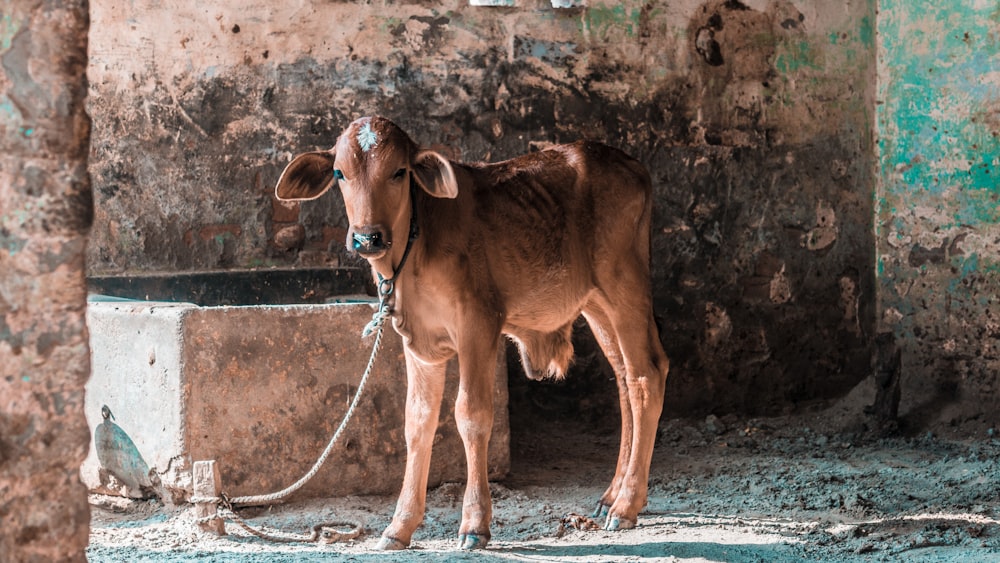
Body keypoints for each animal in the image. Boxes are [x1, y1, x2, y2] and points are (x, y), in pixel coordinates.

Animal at [274, 115, 668, 552]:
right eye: (339, 173)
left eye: (399, 172)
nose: (366, 237)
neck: (413, 250)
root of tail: (627, 163)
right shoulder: (417, 342)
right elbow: (417, 422)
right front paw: (399, 526)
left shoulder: (478, 326)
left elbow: (472, 415)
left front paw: (474, 524)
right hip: (596, 302)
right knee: (624, 380)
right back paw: (611, 496)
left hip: (624, 285)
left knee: (646, 375)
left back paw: (626, 504)